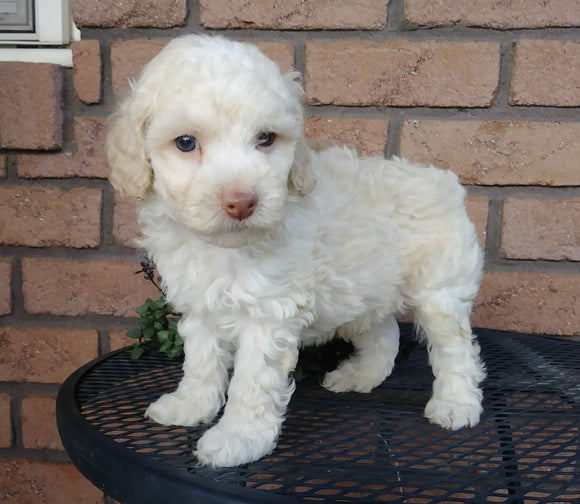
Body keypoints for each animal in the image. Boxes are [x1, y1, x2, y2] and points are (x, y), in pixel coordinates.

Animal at [107, 34, 484, 468]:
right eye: (186, 143)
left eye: (266, 139)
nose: (242, 202)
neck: (226, 248)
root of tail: (444, 179)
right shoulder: (200, 306)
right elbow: (201, 362)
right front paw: (189, 406)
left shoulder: (268, 314)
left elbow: (250, 382)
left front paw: (237, 438)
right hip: (366, 288)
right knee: (384, 334)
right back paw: (359, 376)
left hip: (440, 291)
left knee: (455, 348)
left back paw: (456, 404)